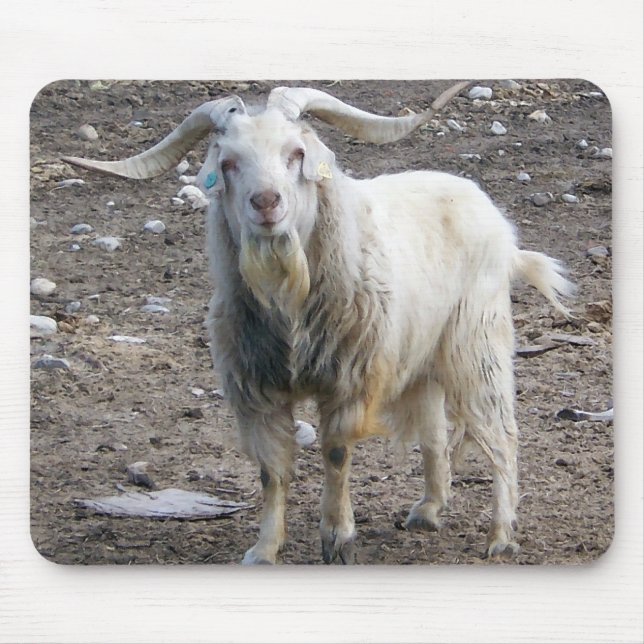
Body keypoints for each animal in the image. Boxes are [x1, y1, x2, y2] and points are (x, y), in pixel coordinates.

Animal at [63, 82, 574, 565]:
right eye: (228, 162)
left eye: (296, 153)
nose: (266, 202)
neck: (290, 304)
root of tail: (499, 227)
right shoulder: (257, 392)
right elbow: (272, 471)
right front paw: (264, 550)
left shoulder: (348, 380)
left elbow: (335, 453)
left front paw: (338, 538)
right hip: (421, 356)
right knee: (433, 431)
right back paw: (429, 509)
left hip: (477, 341)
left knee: (502, 435)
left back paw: (501, 536)